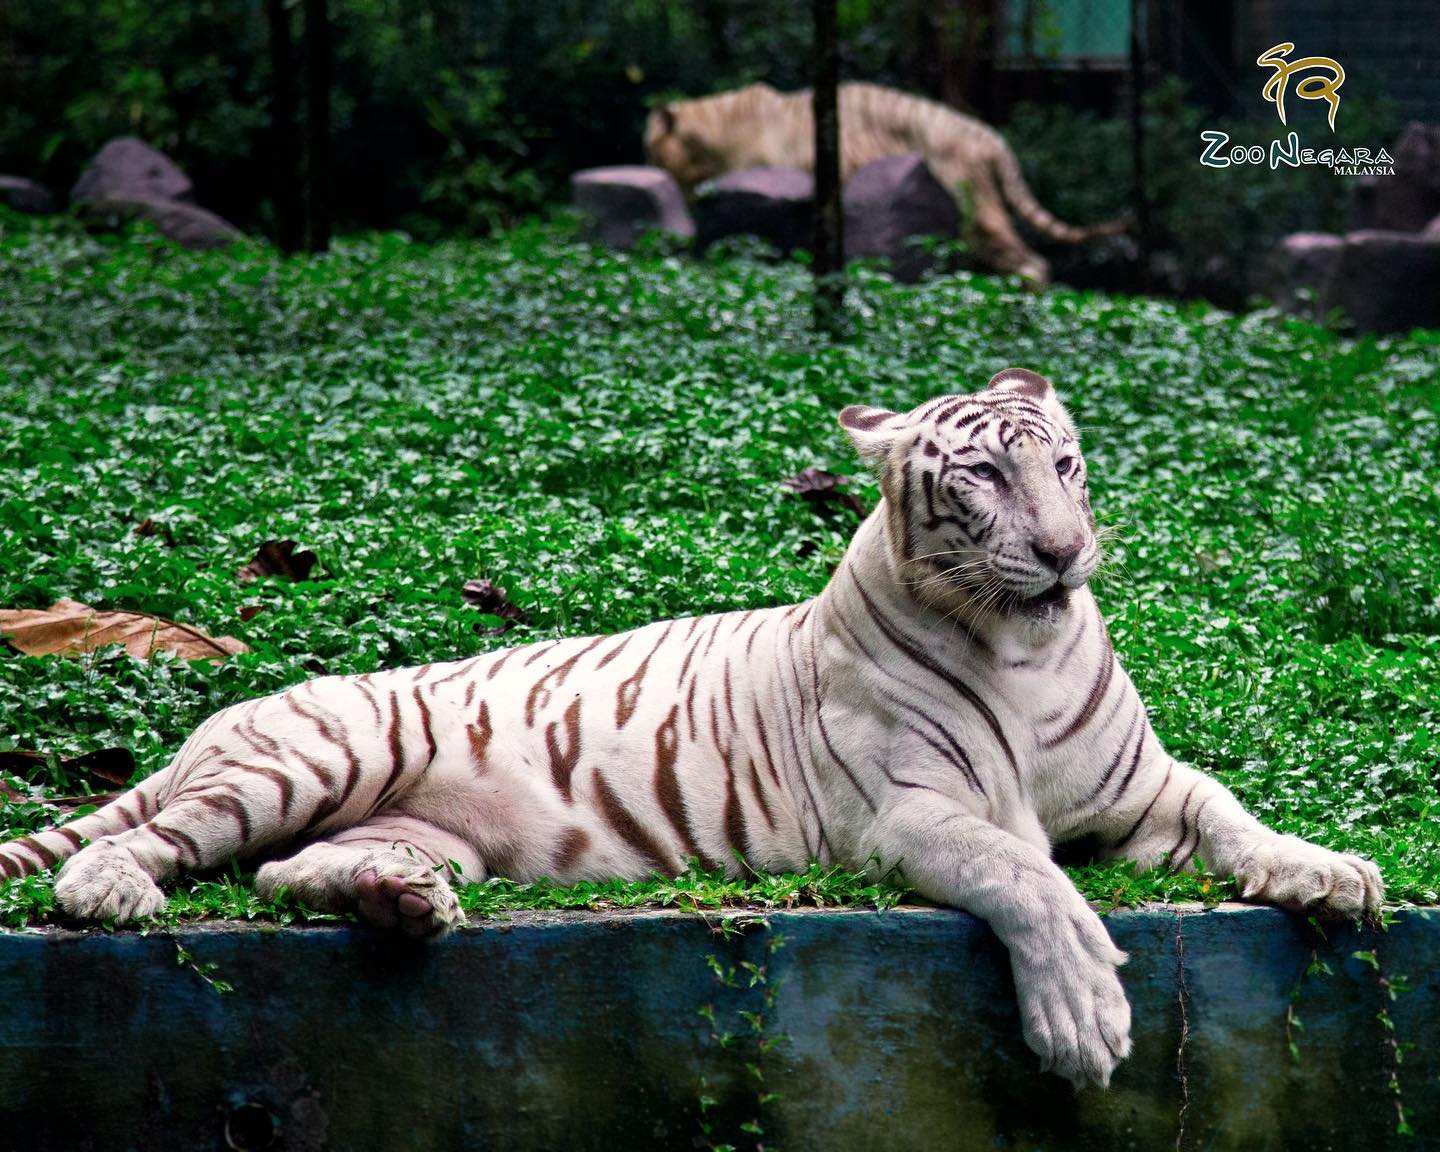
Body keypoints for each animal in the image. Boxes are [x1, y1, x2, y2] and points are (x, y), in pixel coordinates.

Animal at [0, 371, 1382, 1088]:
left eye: (1070, 465)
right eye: (986, 476)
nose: (1060, 552)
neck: (1026, 646)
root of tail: (224, 713)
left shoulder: (1145, 791)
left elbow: (1234, 814)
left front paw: (1330, 873)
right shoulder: (909, 815)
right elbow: (1024, 875)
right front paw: (1084, 1014)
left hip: (421, 829)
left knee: (287, 873)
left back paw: (398, 903)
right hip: (319, 752)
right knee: (162, 843)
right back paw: (116, 890)